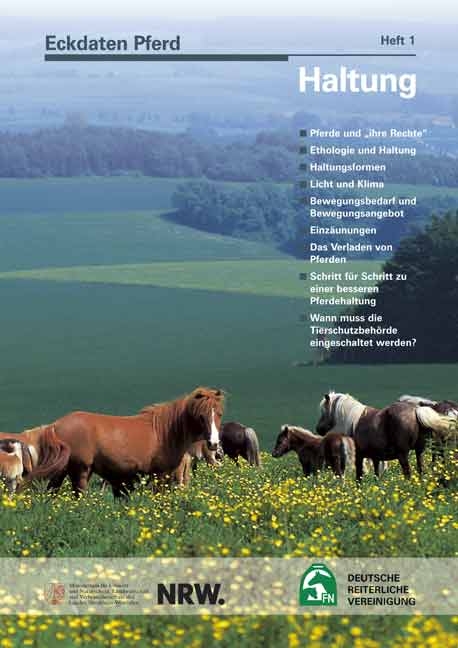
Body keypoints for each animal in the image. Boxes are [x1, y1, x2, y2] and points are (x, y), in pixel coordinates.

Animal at [26, 386, 225, 497]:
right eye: (201, 416)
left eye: (219, 413)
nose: (214, 444)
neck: (165, 431)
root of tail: (55, 425)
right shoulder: (160, 474)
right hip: (80, 471)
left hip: (63, 471)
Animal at [316, 392, 452, 480]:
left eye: (323, 411)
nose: (318, 429)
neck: (353, 421)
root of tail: (415, 410)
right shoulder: (376, 457)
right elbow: (377, 475)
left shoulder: (359, 457)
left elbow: (359, 477)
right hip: (420, 452)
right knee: (420, 471)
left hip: (403, 454)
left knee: (408, 474)